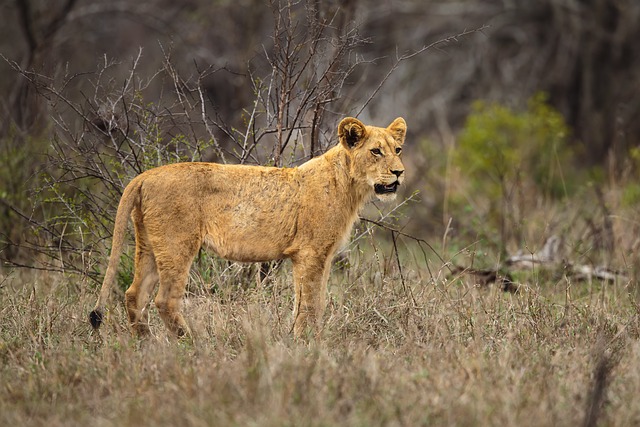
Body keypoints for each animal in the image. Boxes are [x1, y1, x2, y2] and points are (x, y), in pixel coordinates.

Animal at [90, 117, 408, 338]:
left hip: (149, 245)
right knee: (165, 300)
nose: (399, 172)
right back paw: (189, 342)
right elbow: (309, 304)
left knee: (134, 294)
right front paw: (307, 343)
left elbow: (314, 301)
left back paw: (146, 343)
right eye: (376, 151)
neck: (349, 185)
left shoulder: (322, 256)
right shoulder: (310, 253)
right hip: (176, 245)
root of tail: (144, 176)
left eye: (398, 149)